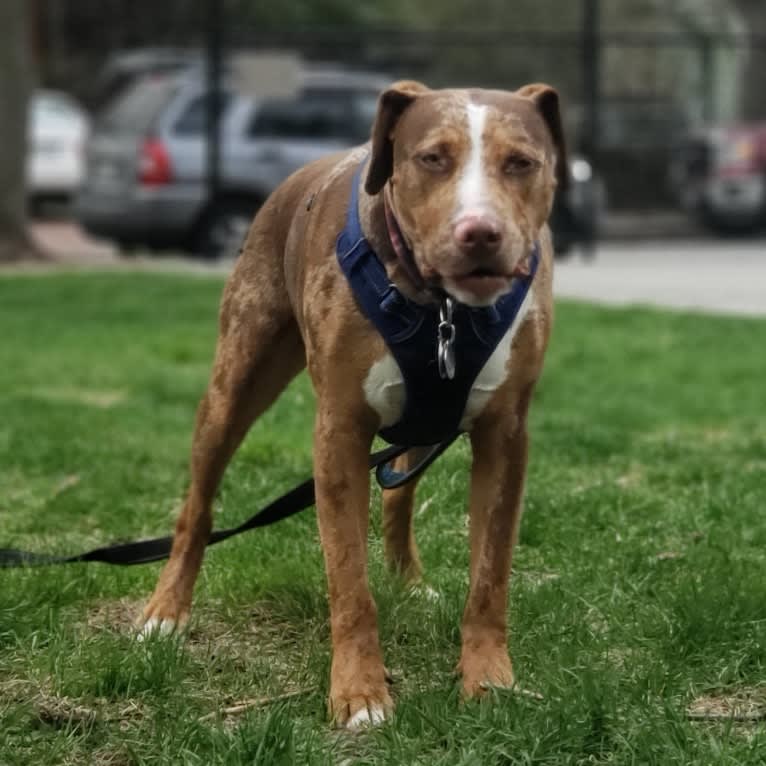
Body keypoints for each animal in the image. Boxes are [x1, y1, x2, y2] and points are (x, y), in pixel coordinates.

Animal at [141, 79, 568, 732]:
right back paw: (166, 611)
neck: (441, 307)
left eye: (521, 162)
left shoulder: (505, 436)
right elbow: (348, 581)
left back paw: (409, 581)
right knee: (198, 508)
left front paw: (489, 677)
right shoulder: (339, 434)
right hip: (232, 387)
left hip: (428, 421)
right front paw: (360, 691)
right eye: (432, 158)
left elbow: (490, 574)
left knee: (398, 495)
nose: (480, 232)